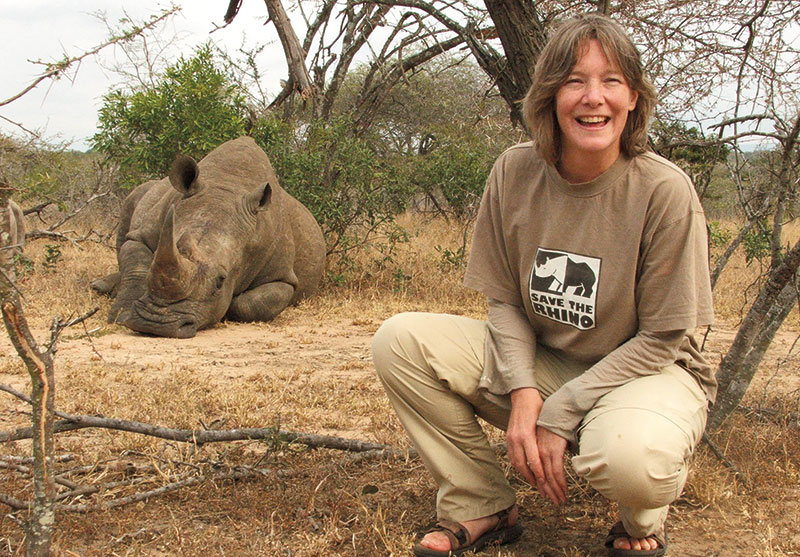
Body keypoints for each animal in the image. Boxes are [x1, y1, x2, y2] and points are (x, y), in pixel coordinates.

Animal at [92, 136, 325, 338]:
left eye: (221, 281)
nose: (156, 324)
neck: (228, 186)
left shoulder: (282, 275)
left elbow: (252, 304)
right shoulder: (141, 236)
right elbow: (136, 267)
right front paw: (122, 314)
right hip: (141, 192)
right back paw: (100, 286)